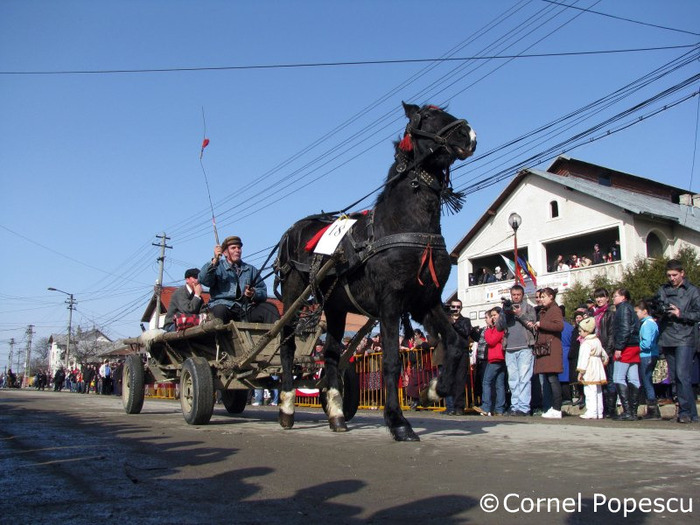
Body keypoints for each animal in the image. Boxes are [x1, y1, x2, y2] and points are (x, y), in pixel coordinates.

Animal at [274, 101, 476, 438]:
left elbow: (457, 344)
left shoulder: (426, 301)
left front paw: (435, 389)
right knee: (287, 344)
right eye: (428, 116)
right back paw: (287, 407)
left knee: (331, 355)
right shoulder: (390, 303)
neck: (401, 224)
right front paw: (398, 421)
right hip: (292, 296)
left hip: (335, 308)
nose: (468, 134)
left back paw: (336, 414)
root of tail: (292, 230)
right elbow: (392, 361)